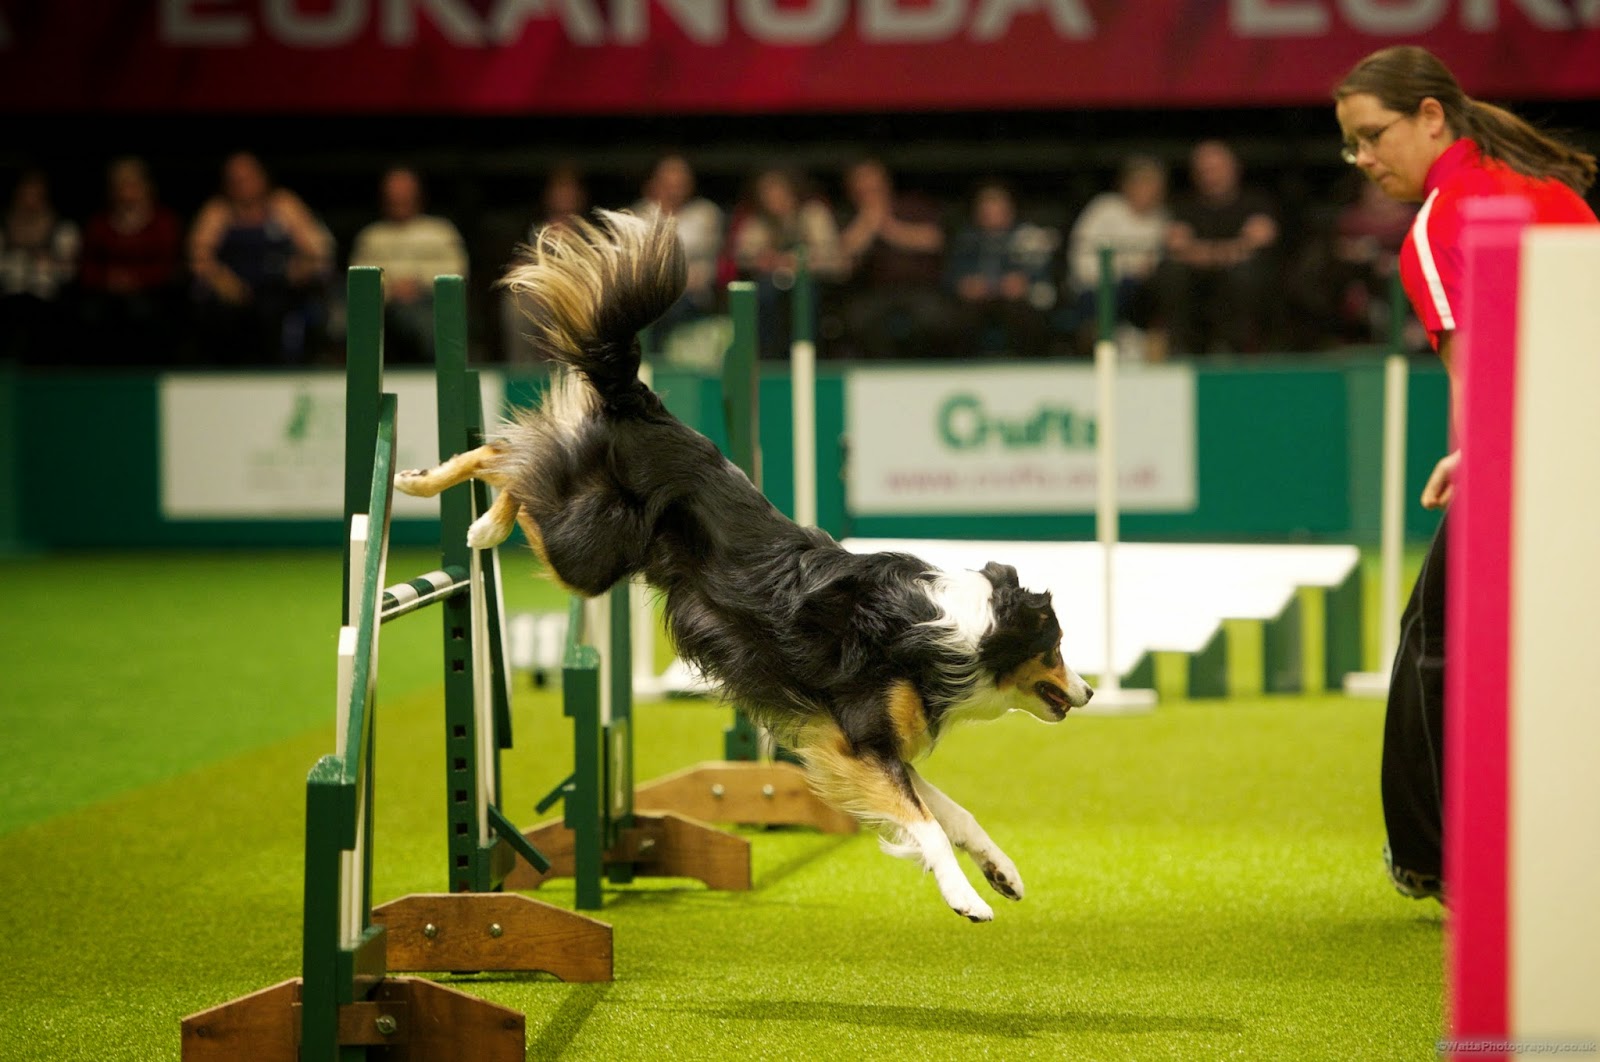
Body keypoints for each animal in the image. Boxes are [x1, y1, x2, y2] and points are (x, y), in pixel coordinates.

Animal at [394, 209, 1093, 922]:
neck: (961, 633)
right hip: (585, 553)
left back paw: (453, 501)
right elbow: (925, 823)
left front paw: (1002, 871)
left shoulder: (862, 739)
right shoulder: (858, 739)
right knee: (509, 455)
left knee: (518, 457)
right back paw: (446, 500)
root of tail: (641, 405)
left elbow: (952, 811)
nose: (1091, 692)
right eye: (1056, 648)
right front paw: (964, 896)